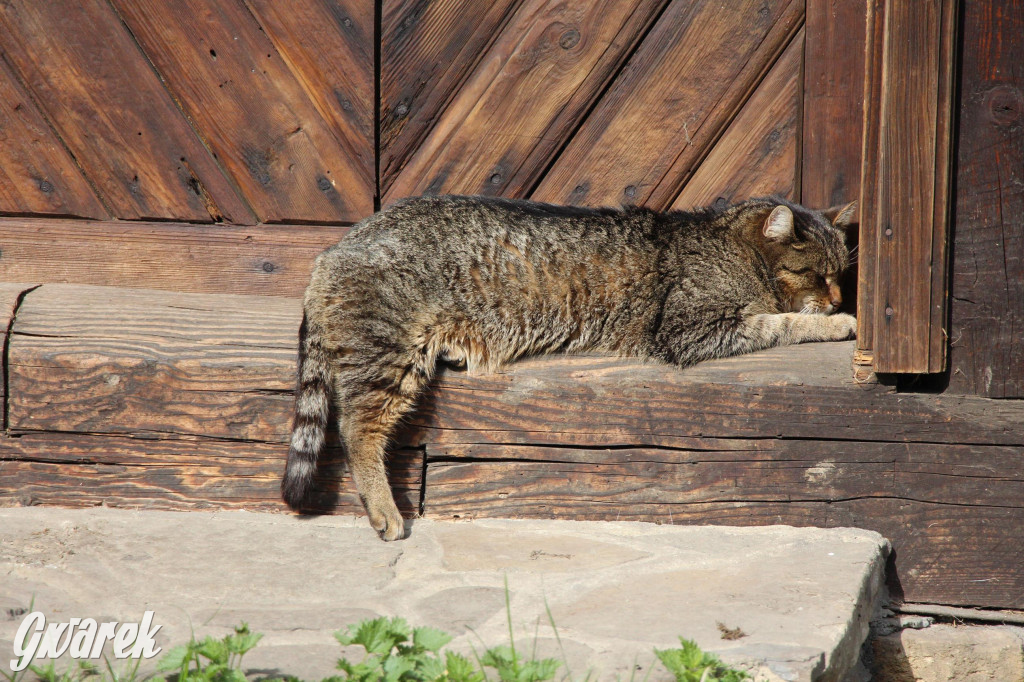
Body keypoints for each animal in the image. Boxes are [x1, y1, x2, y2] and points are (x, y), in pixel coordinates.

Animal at [280, 193, 856, 540]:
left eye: (842, 274)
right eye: (818, 274)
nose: (838, 297)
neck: (730, 245)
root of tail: (330, 249)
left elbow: (778, 317)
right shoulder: (691, 328)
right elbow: (781, 321)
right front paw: (836, 323)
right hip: (390, 356)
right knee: (357, 428)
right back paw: (384, 509)